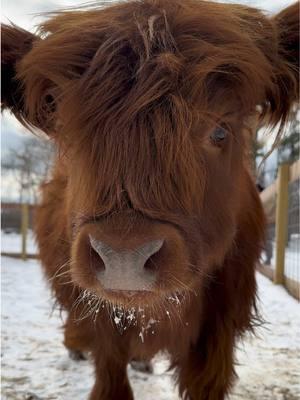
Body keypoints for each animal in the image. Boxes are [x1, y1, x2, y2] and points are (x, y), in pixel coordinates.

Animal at [1, 0, 298, 396]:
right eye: (68, 133)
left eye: (220, 131)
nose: (124, 257)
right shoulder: (102, 324)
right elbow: (110, 380)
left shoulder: (219, 333)